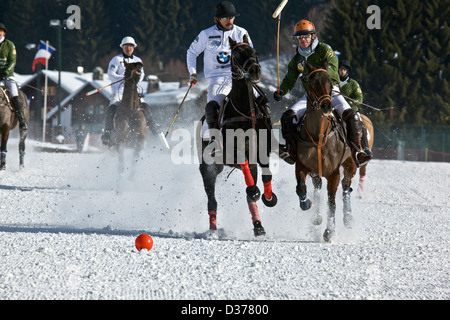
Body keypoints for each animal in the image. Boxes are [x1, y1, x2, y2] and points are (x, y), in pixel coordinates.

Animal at [296, 69, 358, 241]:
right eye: (313, 83)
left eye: (330, 83)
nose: (327, 106)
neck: (318, 136)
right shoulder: (301, 165)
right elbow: (301, 187)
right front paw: (306, 204)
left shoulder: (333, 173)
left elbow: (331, 203)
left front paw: (329, 232)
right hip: (316, 172)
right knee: (317, 187)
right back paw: (316, 216)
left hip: (350, 163)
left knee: (346, 185)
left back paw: (348, 218)